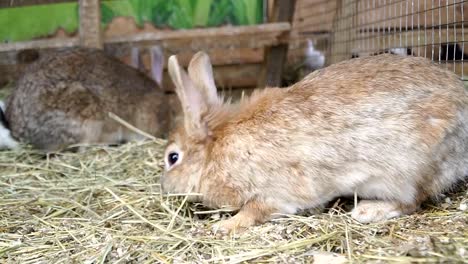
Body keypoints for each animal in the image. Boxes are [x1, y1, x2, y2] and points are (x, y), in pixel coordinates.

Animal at [164, 51, 468, 233]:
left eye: (172, 158)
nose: (163, 186)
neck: (216, 147)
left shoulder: (270, 194)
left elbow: (252, 212)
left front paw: (225, 227)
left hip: (406, 173)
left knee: (413, 201)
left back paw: (368, 210)